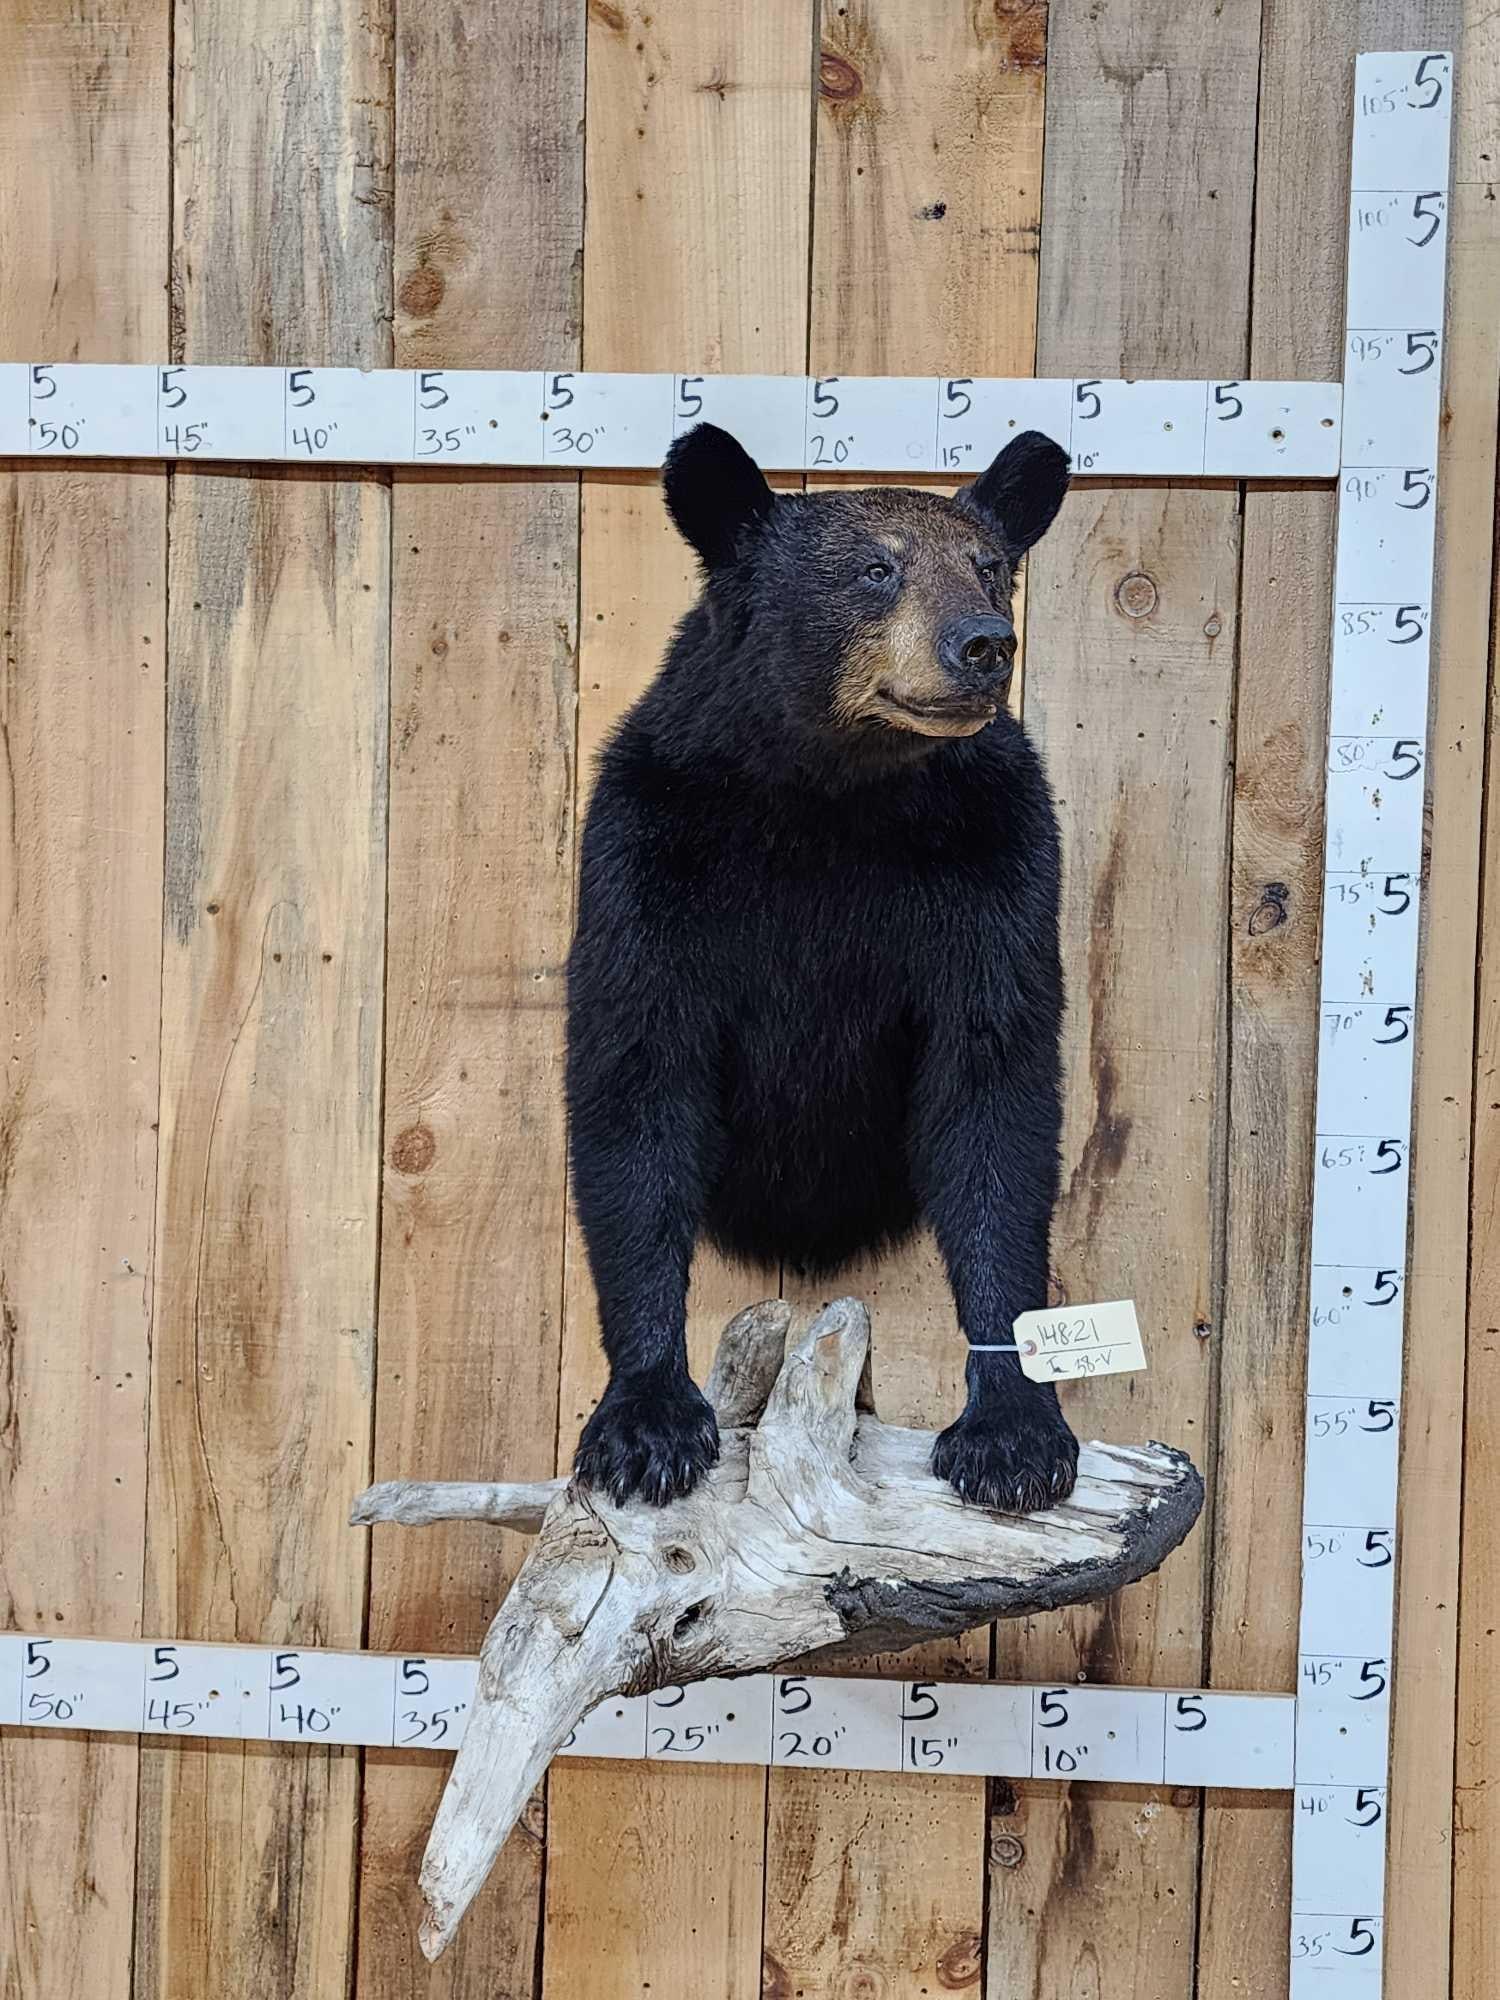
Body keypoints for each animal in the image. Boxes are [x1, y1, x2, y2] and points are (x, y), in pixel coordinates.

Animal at [564, 421, 1075, 1514]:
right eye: (876, 569)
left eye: (990, 565)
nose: (984, 645)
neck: (833, 793)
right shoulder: (651, 855)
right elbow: (635, 1083)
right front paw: (643, 1421)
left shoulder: (997, 860)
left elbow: (996, 1090)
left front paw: (1012, 1430)